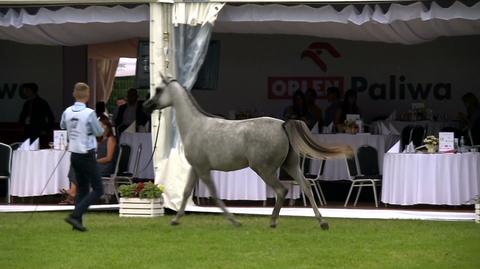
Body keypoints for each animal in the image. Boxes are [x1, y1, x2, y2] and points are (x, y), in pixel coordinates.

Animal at [144, 77, 350, 228]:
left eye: (159, 89)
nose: (147, 106)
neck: (195, 126)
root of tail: (283, 125)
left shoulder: (203, 169)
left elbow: (214, 194)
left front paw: (235, 221)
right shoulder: (196, 168)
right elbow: (187, 192)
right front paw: (175, 219)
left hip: (264, 169)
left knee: (281, 190)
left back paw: (273, 221)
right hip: (290, 166)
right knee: (306, 186)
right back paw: (322, 222)